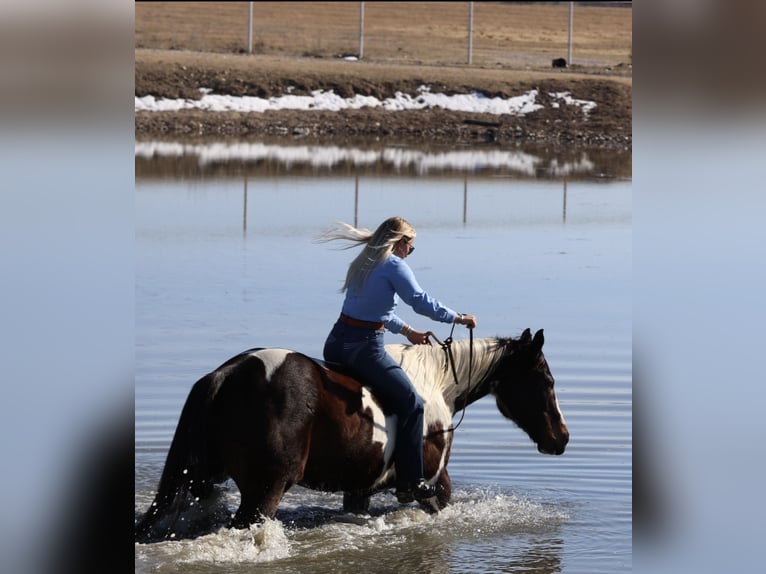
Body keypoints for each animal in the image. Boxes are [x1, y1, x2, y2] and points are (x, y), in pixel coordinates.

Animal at [135, 328, 569, 542]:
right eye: (546, 380)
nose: (561, 438)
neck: (437, 384)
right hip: (264, 491)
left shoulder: (360, 489)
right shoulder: (429, 483)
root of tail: (225, 375)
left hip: (202, 481)